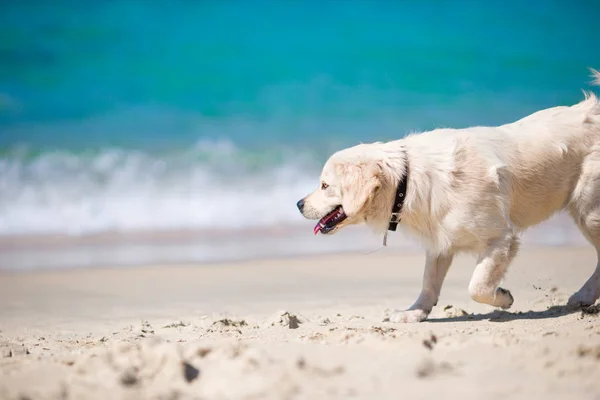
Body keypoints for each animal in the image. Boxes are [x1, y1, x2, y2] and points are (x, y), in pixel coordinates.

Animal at [296, 69, 600, 324]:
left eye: (324, 185)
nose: (298, 204)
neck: (407, 181)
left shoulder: (501, 238)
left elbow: (477, 286)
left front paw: (503, 297)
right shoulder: (439, 240)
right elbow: (429, 282)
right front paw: (414, 313)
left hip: (589, 210)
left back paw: (583, 296)